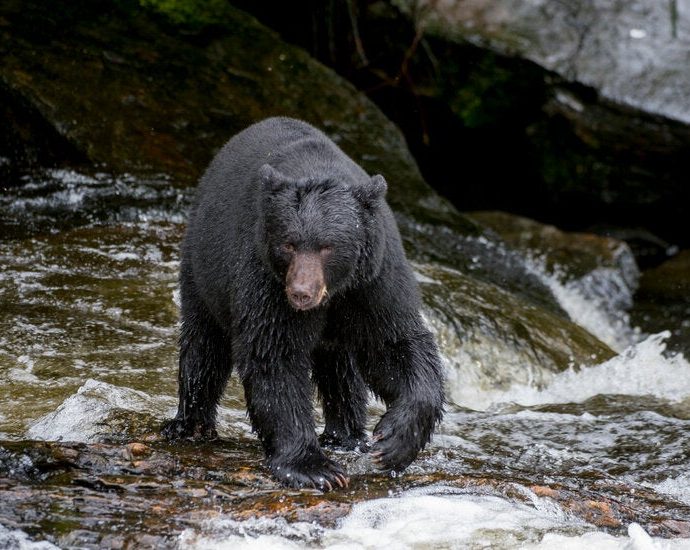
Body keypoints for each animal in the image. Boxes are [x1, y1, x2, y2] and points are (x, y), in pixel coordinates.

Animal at [162, 117, 445, 490]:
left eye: (327, 246)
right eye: (289, 244)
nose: (300, 293)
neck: (335, 291)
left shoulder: (373, 279)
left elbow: (394, 343)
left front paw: (393, 442)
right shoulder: (264, 275)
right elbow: (274, 354)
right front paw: (313, 467)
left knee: (341, 367)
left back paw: (346, 435)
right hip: (203, 265)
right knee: (204, 344)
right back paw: (189, 424)